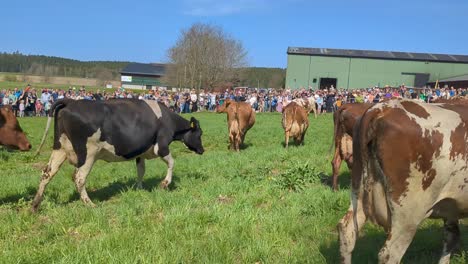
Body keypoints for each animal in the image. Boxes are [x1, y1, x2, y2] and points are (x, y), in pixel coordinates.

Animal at [31, 98, 203, 211]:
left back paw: (35, 204)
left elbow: (141, 170)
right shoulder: (161, 147)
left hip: (59, 149)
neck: (168, 120)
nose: (202, 150)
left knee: (47, 173)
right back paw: (90, 204)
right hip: (88, 154)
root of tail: (70, 101)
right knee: (79, 178)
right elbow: (172, 163)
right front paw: (164, 184)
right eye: (200, 134)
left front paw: (139, 188)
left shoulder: (140, 151)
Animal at [338, 99, 468, 264]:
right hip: (408, 214)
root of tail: (380, 109)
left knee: (347, 232)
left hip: (358, 193)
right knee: (390, 253)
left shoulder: (451, 206)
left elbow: (451, 237)